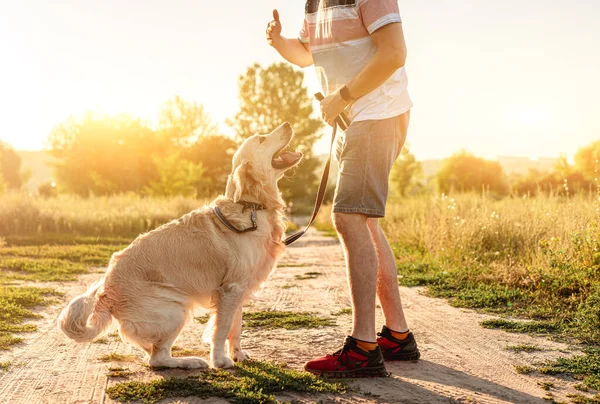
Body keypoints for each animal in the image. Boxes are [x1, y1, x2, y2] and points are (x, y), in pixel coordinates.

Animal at [57, 123, 300, 370]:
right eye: (261, 139)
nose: (288, 125)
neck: (252, 206)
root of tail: (107, 292)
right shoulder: (231, 289)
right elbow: (222, 329)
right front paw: (220, 360)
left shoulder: (240, 289)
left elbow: (236, 326)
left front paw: (238, 354)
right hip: (175, 308)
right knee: (158, 358)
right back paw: (191, 362)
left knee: (152, 353)